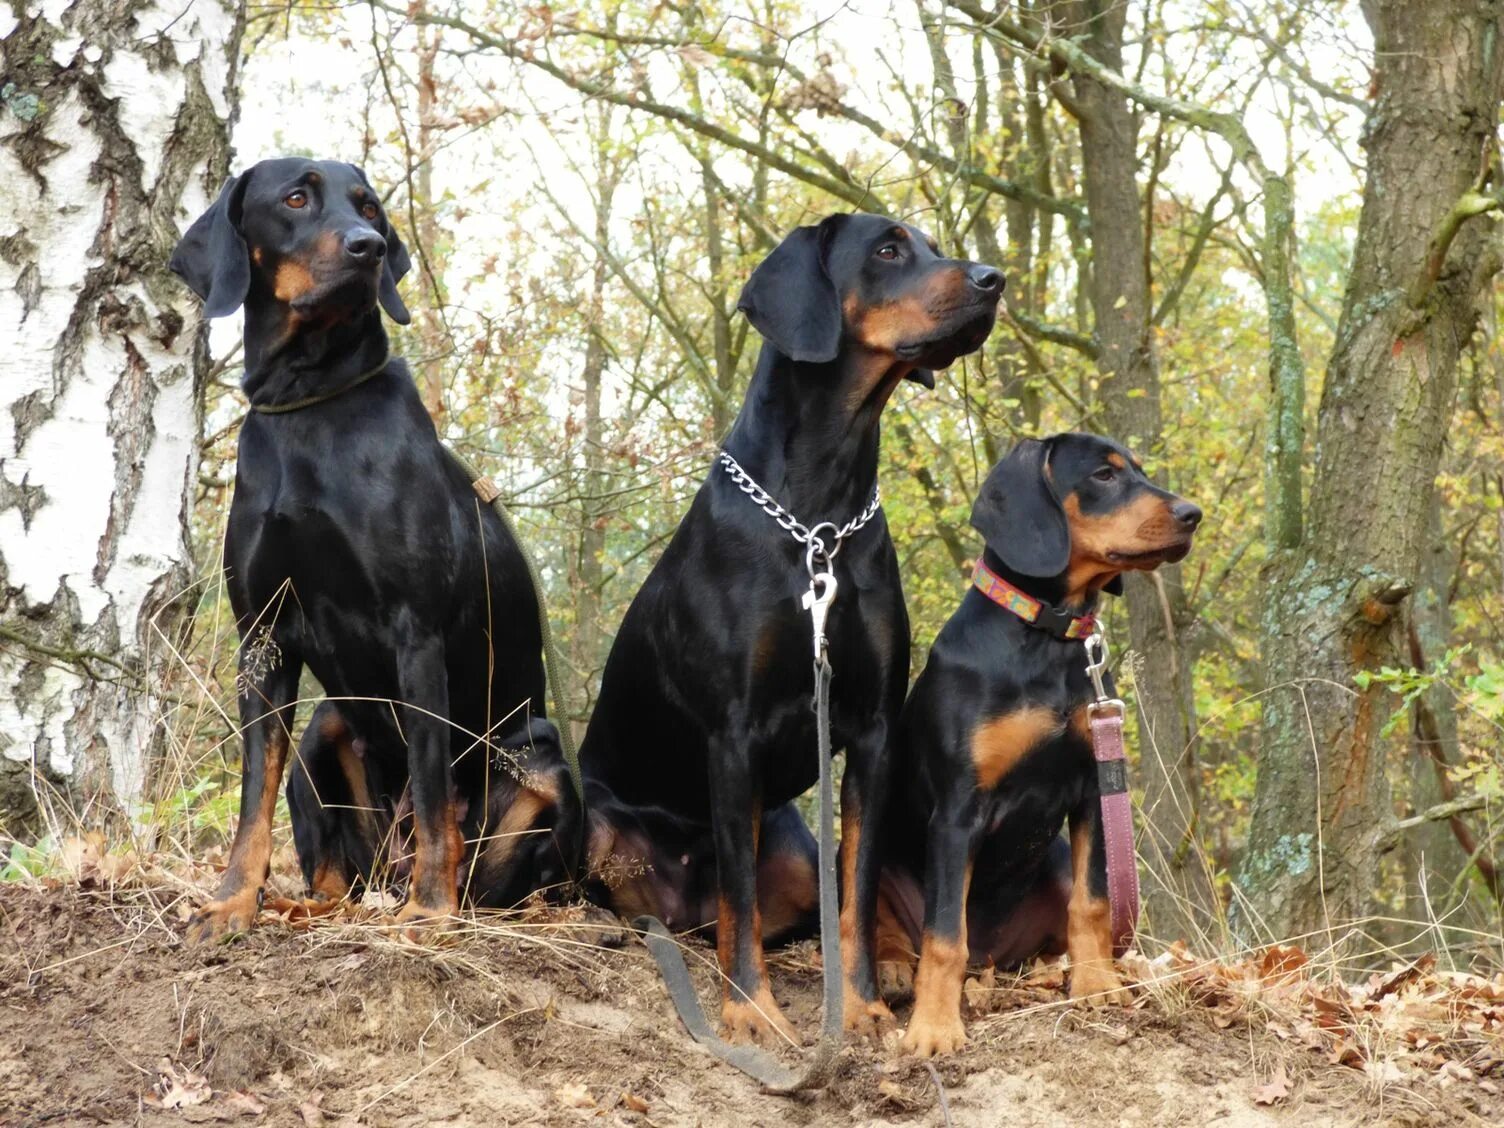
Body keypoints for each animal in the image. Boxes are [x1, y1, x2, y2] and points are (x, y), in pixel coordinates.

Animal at [172, 157, 580, 938]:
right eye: (295, 198)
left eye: (369, 208)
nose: (369, 248)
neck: (308, 402)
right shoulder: (262, 638)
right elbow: (253, 795)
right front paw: (231, 900)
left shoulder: (415, 631)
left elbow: (429, 783)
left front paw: (429, 910)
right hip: (324, 729)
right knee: (340, 875)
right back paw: (304, 902)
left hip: (537, 756)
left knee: (482, 861)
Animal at [580, 210, 1004, 1040]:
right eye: (888, 249)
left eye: (935, 246)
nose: (992, 279)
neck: (819, 521)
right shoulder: (732, 732)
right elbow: (740, 898)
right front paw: (750, 1011)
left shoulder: (872, 730)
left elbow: (858, 887)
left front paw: (862, 1004)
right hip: (596, 820)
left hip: (796, 847)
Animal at [878, 436, 1203, 1058]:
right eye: (1104, 475)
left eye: (1139, 471)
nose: (1192, 514)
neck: (1046, 639)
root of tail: (994, 959)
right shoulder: (957, 809)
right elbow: (943, 934)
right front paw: (934, 1028)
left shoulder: (1094, 785)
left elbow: (1093, 903)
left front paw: (1096, 984)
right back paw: (891, 967)